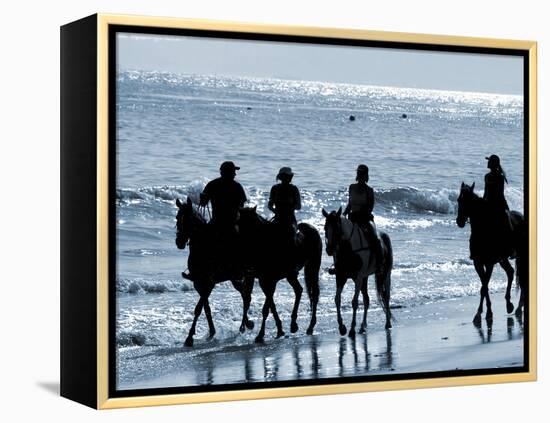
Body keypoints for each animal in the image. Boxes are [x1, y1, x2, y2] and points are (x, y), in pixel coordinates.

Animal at [326, 207, 394, 336]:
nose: (329, 250)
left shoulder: (358, 277)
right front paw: (342, 327)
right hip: (365, 278)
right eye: (325, 227)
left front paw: (352, 328)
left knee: (386, 296)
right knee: (366, 300)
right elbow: (337, 299)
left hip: (385, 274)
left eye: (337, 229)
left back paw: (388, 323)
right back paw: (363, 326)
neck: (349, 249)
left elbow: (354, 302)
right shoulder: (340, 276)